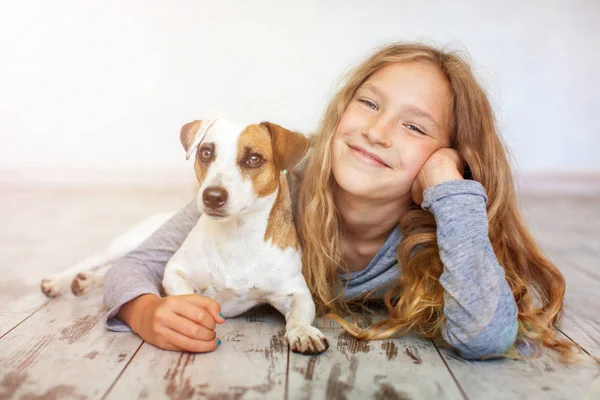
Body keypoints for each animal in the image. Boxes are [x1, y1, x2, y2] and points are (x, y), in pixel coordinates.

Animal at [42, 118, 330, 354]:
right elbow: (183, 294)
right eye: (206, 153)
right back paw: (59, 281)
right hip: (129, 242)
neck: (235, 235)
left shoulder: (296, 291)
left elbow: (300, 313)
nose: (212, 196)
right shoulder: (174, 270)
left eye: (254, 159)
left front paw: (304, 332)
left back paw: (85, 281)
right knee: (100, 260)